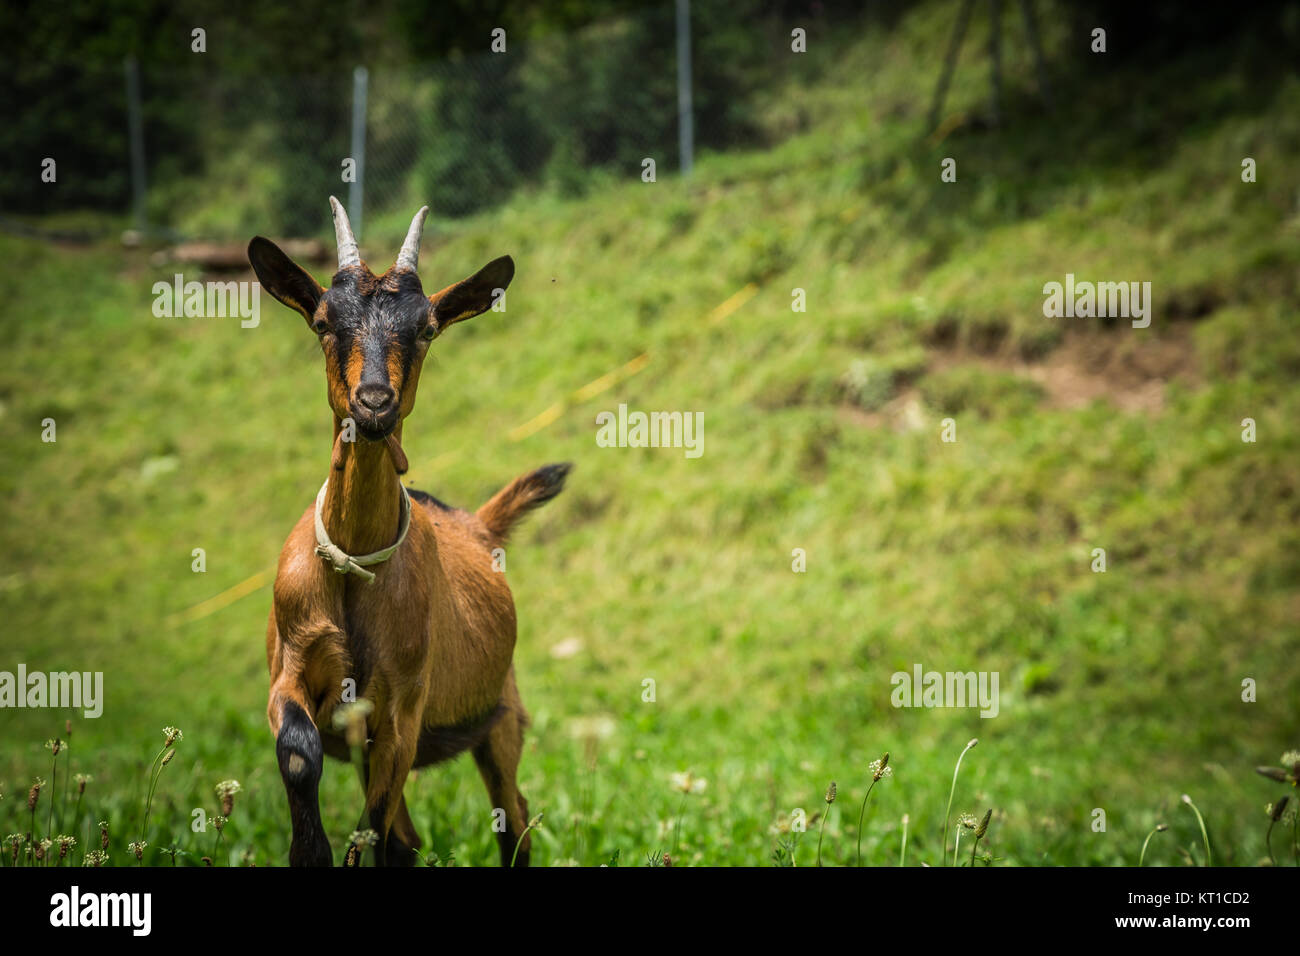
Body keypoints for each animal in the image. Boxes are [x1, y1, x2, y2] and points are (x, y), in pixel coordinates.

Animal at [248, 198, 569, 866]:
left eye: (425, 329)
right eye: (322, 321)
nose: (374, 403)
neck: (353, 565)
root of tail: (478, 522)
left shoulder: (401, 710)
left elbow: (374, 830)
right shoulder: (290, 673)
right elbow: (302, 757)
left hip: (500, 714)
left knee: (512, 816)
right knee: (412, 835)